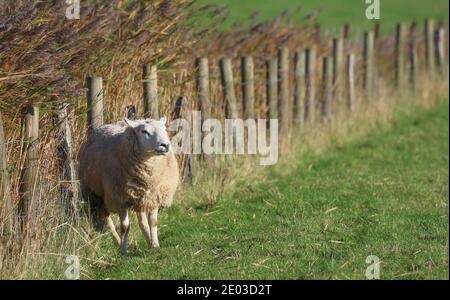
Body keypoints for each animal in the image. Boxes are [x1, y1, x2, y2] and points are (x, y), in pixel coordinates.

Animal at [79, 117, 179, 253]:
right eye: (144, 131)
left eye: (164, 129)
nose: (165, 145)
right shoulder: (120, 199)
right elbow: (125, 226)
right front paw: (123, 250)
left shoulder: (153, 196)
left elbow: (153, 222)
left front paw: (155, 245)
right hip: (95, 195)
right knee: (107, 220)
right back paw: (117, 241)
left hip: (139, 196)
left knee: (142, 219)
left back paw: (148, 240)